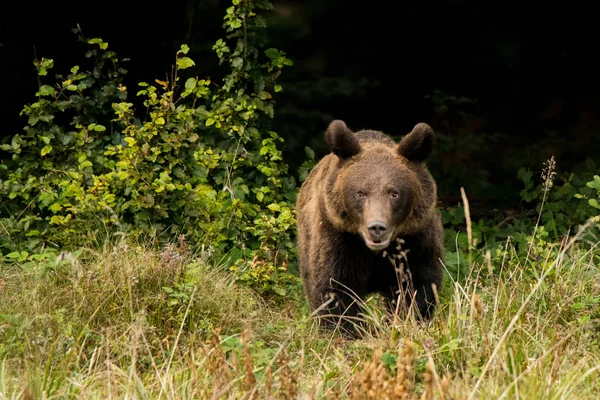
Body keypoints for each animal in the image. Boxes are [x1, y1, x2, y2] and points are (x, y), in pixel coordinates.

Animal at [296, 120, 446, 332]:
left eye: (394, 193)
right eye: (361, 193)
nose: (376, 227)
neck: (376, 252)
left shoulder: (415, 238)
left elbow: (417, 285)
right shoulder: (339, 238)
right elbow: (336, 288)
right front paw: (347, 330)